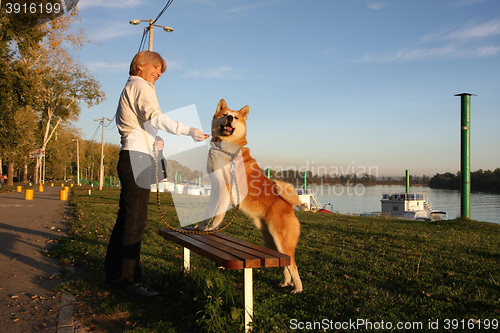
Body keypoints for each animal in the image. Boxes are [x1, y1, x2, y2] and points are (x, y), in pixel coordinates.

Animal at [197, 98, 302, 294]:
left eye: (235, 117)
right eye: (225, 115)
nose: (230, 117)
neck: (225, 147)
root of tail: (289, 205)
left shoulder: (225, 189)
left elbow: (218, 214)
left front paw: (211, 228)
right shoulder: (215, 189)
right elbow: (209, 212)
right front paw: (201, 226)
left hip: (281, 239)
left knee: (292, 264)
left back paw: (298, 288)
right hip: (271, 241)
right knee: (284, 263)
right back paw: (286, 282)